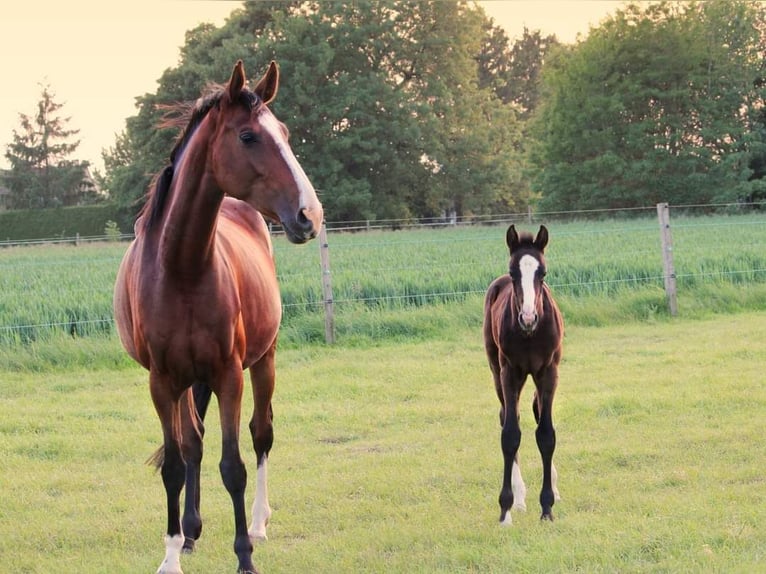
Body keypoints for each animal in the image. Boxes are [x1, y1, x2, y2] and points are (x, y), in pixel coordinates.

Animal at [112, 60, 322, 572]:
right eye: (248, 136)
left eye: (285, 133)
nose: (310, 215)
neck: (182, 268)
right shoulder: (163, 381)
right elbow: (175, 462)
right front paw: (172, 553)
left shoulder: (229, 375)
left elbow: (234, 465)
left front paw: (245, 555)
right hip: (189, 382)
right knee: (194, 443)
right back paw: (189, 532)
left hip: (263, 361)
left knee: (261, 434)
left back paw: (259, 522)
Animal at [486, 225, 564, 528]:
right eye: (513, 272)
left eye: (543, 273)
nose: (528, 318)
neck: (531, 335)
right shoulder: (510, 371)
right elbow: (510, 435)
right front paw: (505, 510)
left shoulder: (549, 371)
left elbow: (546, 434)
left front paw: (547, 507)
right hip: (496, 371)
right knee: (509, 415)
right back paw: (519, 499)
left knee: (537, 410)